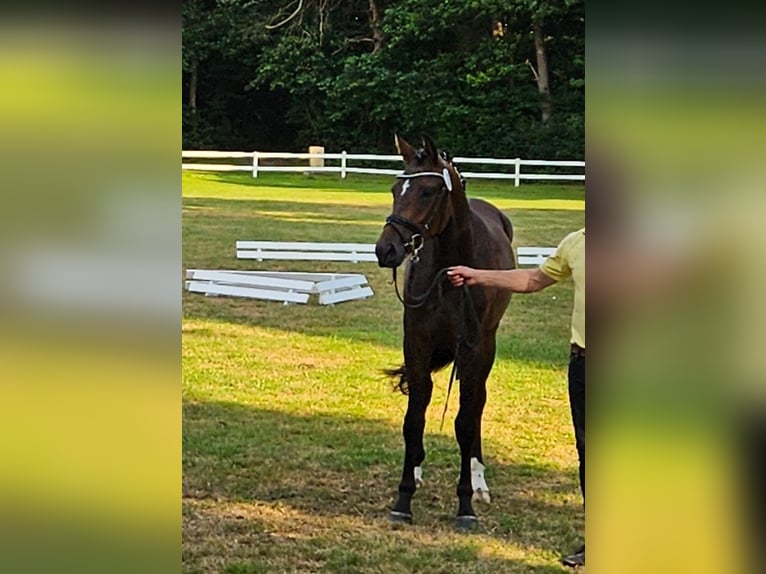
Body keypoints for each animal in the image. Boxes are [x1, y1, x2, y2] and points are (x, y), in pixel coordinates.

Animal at [375, 134, 515, 529]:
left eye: (427, 192)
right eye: (395, 189)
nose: (385, 249)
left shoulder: (472, 349)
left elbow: (465, 422)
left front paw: (465, 504)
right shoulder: (417, 344)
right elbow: (414, 417)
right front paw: (404, 497)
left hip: (484, 352)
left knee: (477, 405)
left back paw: (479, 481)